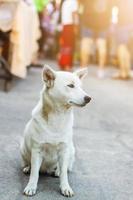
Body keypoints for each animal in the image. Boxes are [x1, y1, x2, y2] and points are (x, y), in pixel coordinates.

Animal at [20, 65, 91, 197]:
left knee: (64, 168)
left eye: (81, 87)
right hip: (22, 148)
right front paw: (31, 186)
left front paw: (65, 187)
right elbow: (34, 174)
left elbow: (64, 174)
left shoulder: (64, 150)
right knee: (29, 164)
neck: (58, 117)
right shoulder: (37, 150)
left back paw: (56, 171)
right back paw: (28, 167)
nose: (89, 98)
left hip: (71, 150)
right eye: (71, 86)